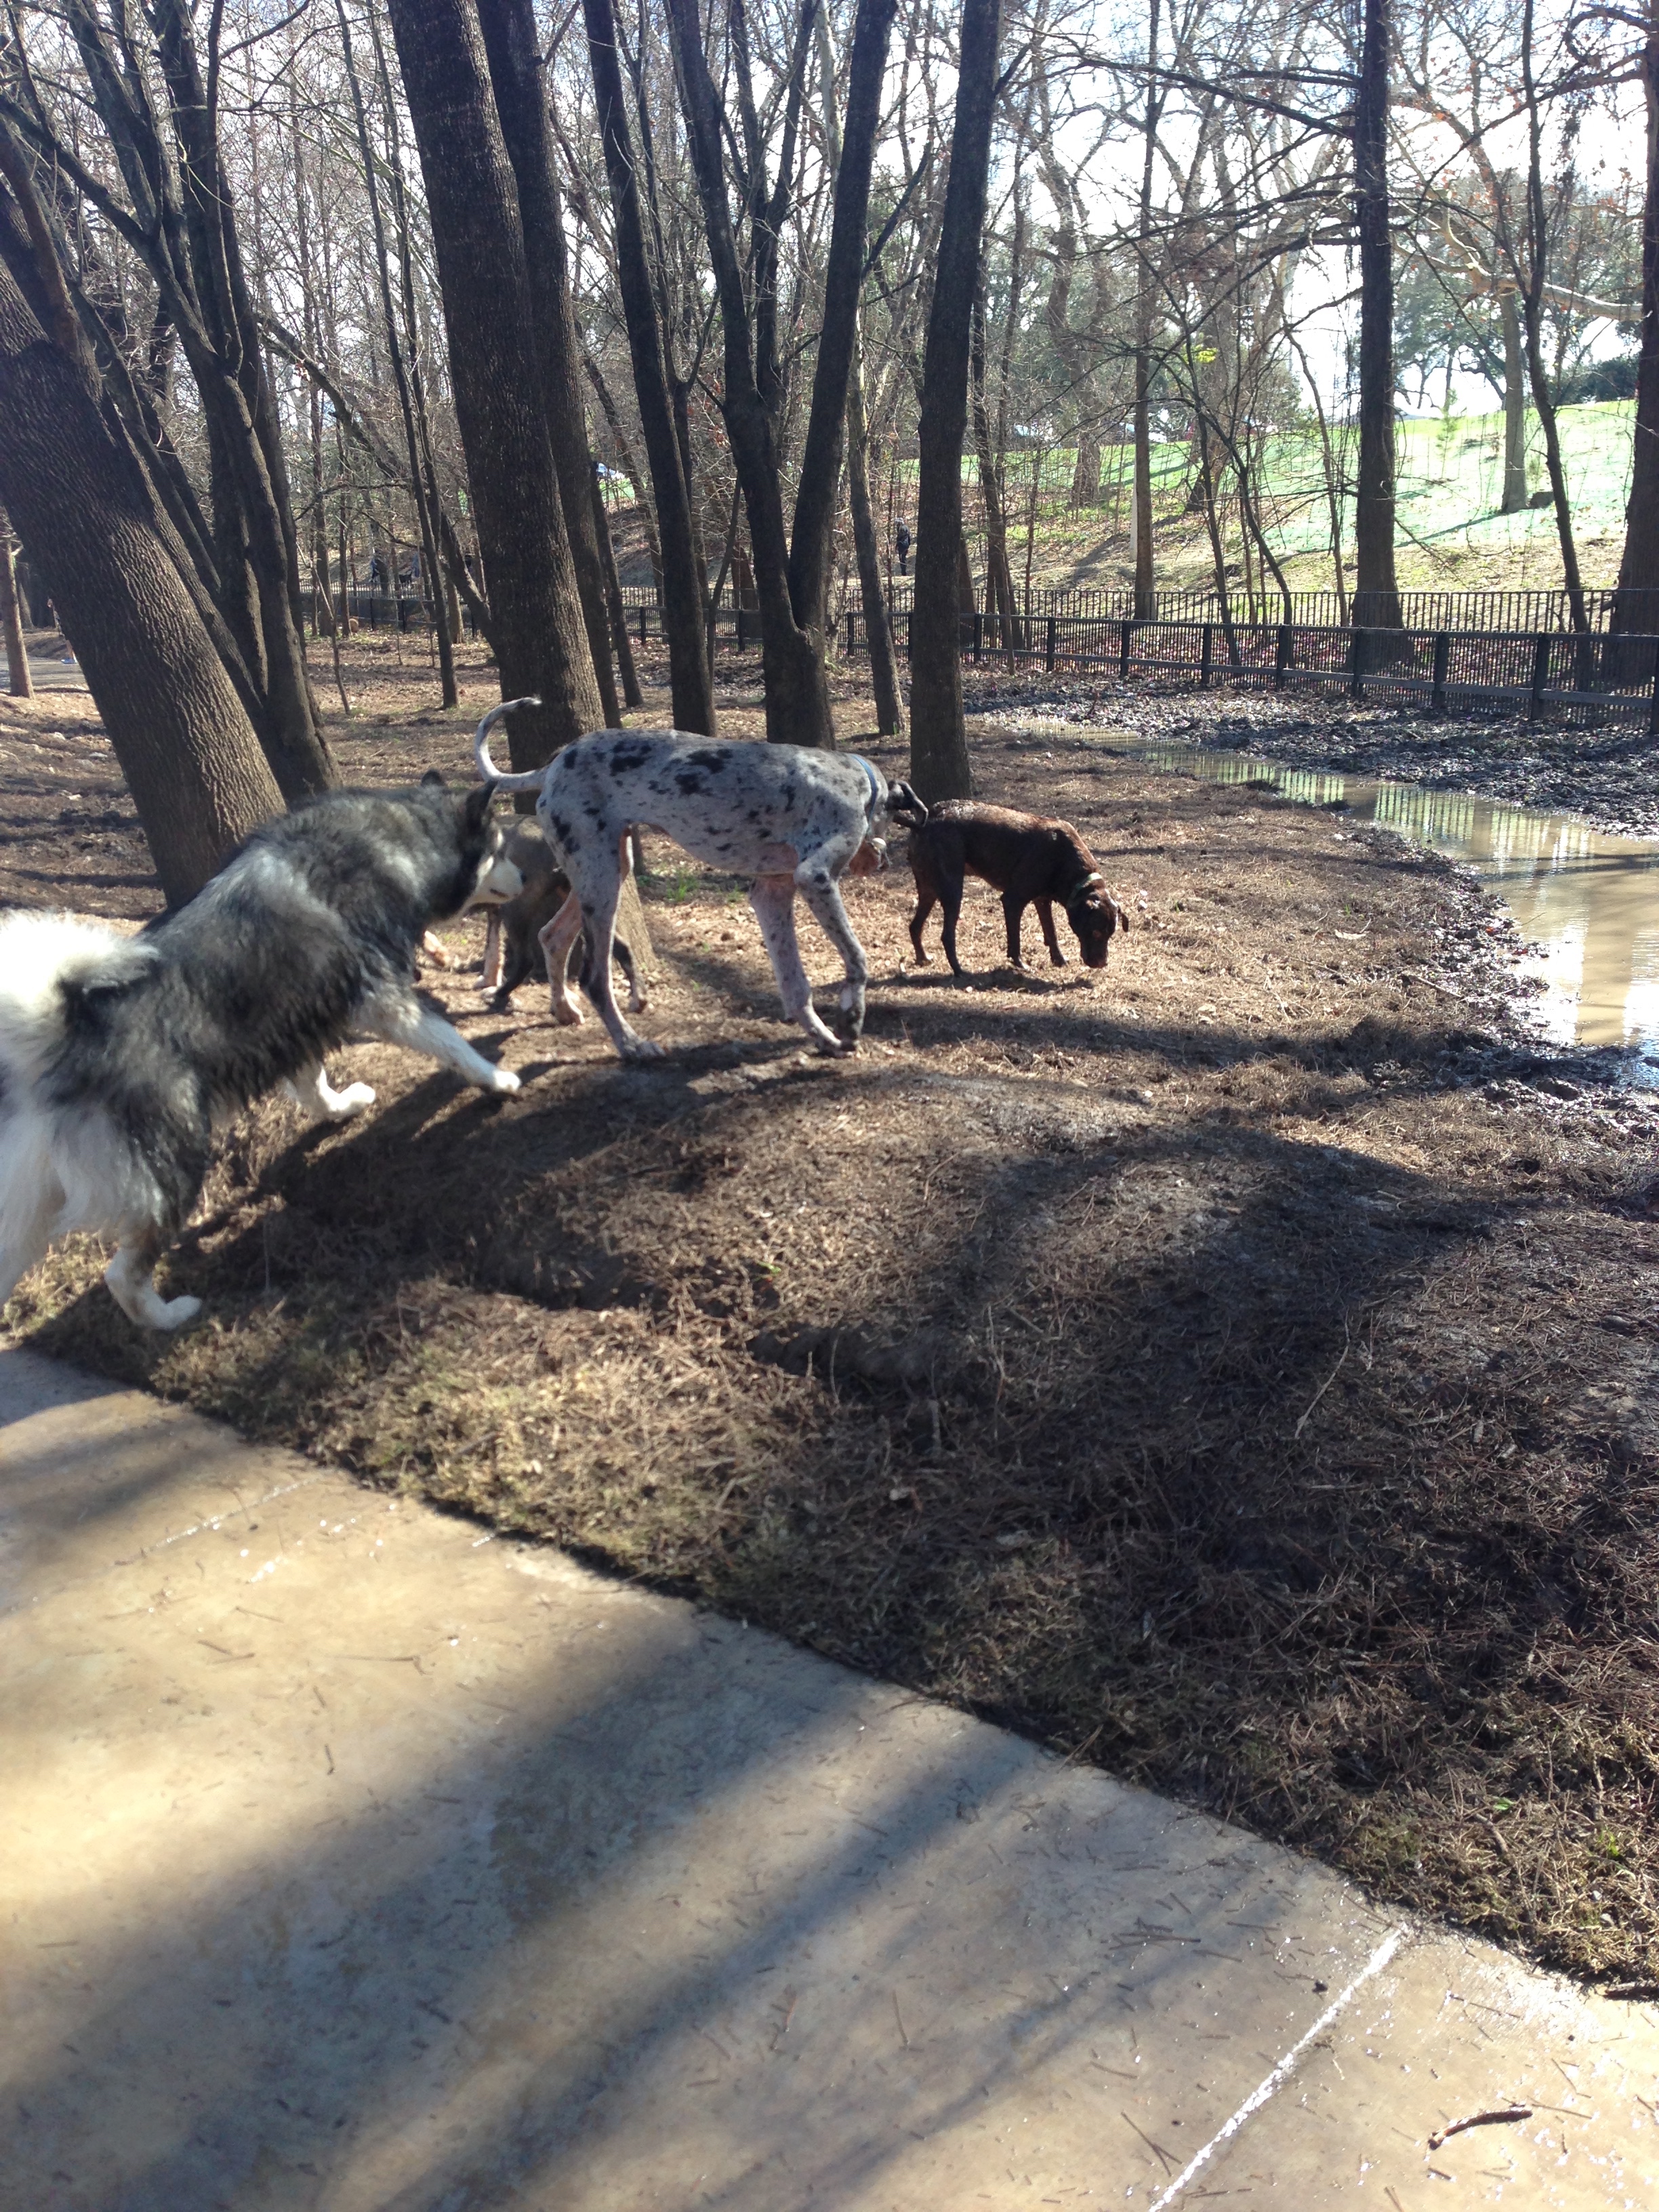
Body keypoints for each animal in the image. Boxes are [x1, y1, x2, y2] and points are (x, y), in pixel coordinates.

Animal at [0, 777, 522, 1333]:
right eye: (500, 850)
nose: (530, 873)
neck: (400, 841)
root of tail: (56, 1034)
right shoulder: (383, 1002)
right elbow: (451, 1041)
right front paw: (496, 1079)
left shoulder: (300, 1017)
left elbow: (314, 1086)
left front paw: (342, 1108)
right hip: (174, 1167)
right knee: (123, 1276)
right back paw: (171, 1316)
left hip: (33, 1210)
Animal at [480, 819, 642, 1015]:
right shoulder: (494, 911)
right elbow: (493, 949)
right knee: (622, 948)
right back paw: (638, 1000)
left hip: (516, 908)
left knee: (526, 960)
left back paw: (499, 994)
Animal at [907, 800, 1130, 977]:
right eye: (1096, 933)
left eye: (1111, 934)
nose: (1102, 964)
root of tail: (924, 823)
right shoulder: (1013, 900)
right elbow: (1015, 940)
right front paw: (1020, 965)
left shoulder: (1042, 900)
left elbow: (1051, 932)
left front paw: (1059, 960)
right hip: (953, 890)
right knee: (946, 935)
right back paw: (960, 971)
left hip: (929, 889)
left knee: (915, 926)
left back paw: (922, 958)